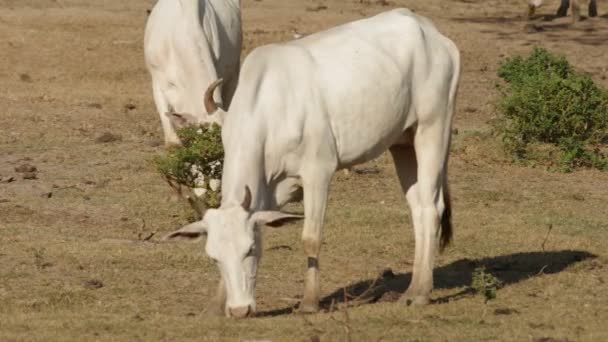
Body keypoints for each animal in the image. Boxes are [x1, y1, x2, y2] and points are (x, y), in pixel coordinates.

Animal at [164, 7, 458, 318]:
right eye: (214, 258)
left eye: (250, 250)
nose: (241, 310)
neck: (270, 111)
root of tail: (428, 30)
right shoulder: (270, 191)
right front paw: (217, 305)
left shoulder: (318, 172)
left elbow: (310, 237)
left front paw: (309, 301)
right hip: (402, 143)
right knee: (417, 208)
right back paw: (412, 289)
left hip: (433, 127)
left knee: (431, 207)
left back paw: (422, 293)